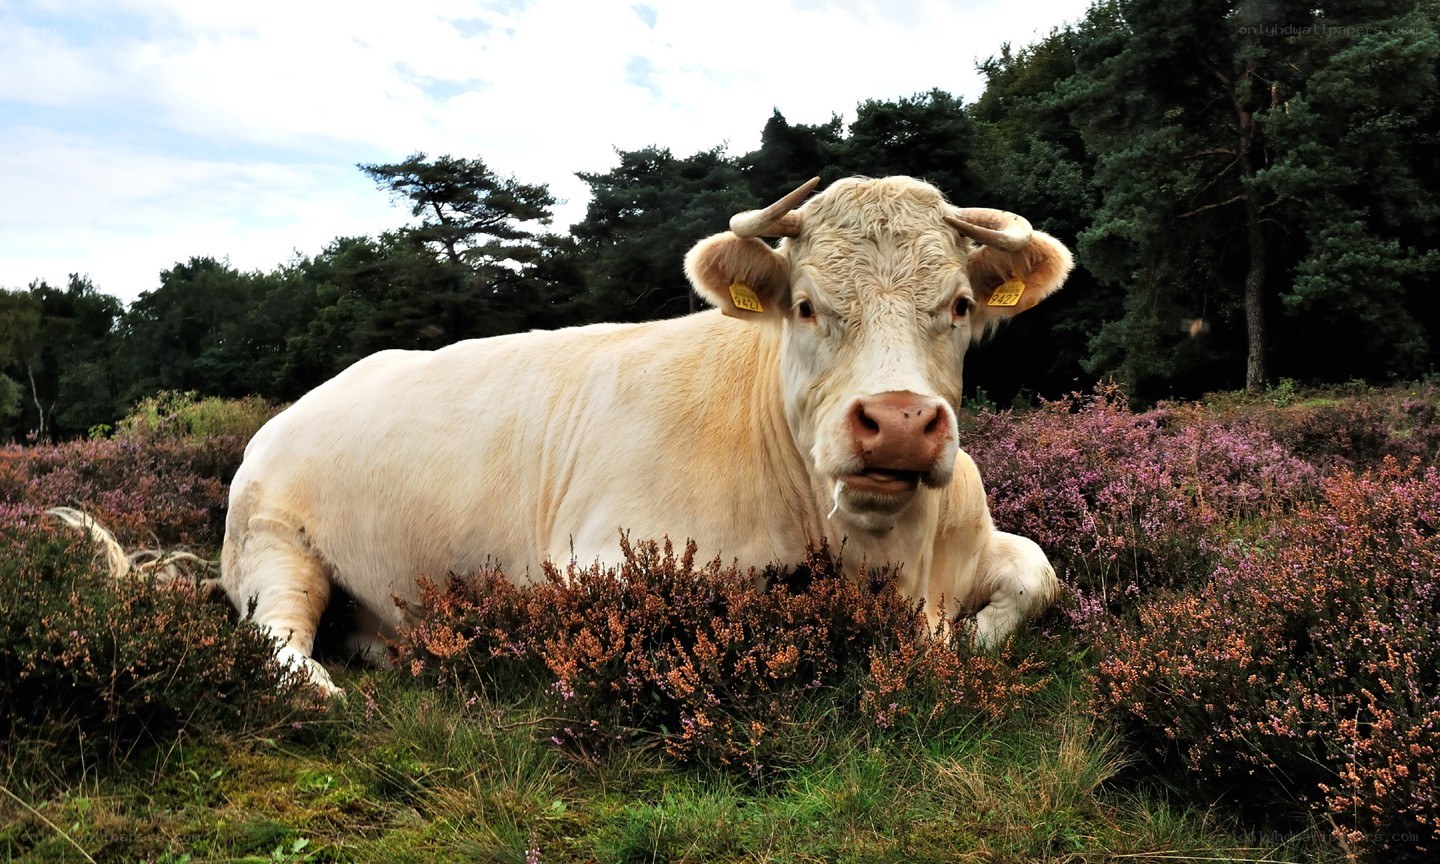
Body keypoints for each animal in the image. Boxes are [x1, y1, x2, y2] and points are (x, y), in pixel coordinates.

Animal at [217, 176, 1073, 695]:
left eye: (959, 305)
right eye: (804, 306)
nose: (898, 421)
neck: (894, 559)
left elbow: (1040, 572)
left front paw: (974, 636)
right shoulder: (602, 562)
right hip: (271, 545)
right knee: (274, 634)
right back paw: (316, 688)